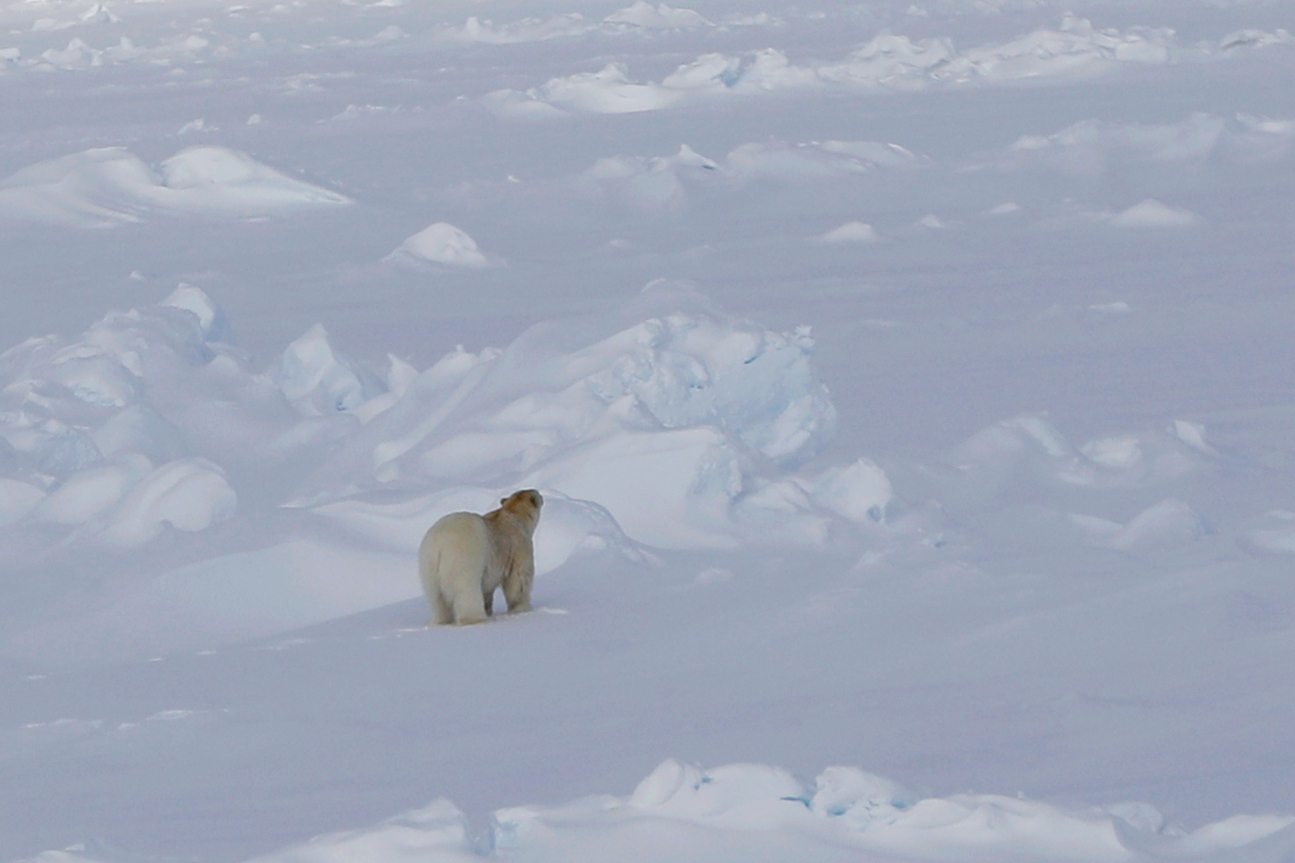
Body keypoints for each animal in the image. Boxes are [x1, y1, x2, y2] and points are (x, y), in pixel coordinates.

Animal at [419, 487, 541, 621]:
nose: (539, 493)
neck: (514, 515)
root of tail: (438, 545)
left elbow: (487, 588)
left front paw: (489, 609)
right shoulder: (518, 545)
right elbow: (519, 579)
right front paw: (522, 608)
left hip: (428, 565)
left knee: (436, 598)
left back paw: (442, 620)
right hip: (464, 556)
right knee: (467, 590)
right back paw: (476, 618)